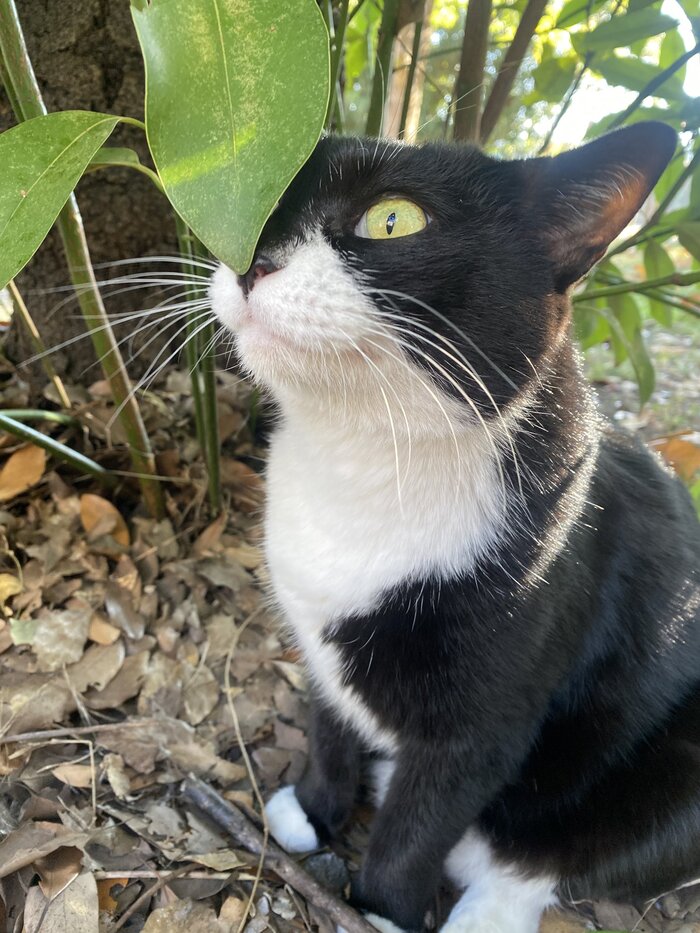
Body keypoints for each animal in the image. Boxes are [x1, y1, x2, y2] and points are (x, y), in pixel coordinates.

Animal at [209, 121, 700, 933]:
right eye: (266, 191)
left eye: (393, 219)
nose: (251, 257)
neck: (364, 461)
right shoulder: (317, 642)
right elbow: (328, 725)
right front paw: (313, 810)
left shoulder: (488, 715)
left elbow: (422, 821)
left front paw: (380, 908)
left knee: (549, 859)